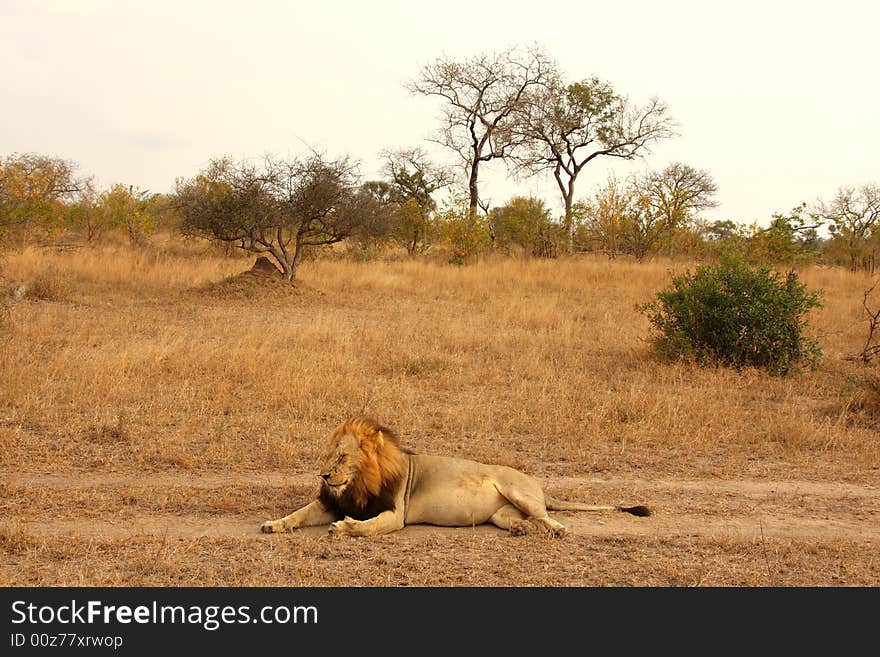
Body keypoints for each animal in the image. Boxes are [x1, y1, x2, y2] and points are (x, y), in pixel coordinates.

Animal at [258, 416, 648, 540]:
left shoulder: (395, 515)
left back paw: (553, 530)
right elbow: (297, 514)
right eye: (327, 457)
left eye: (342, 458)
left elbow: (369, 527)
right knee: (523, 520)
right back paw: (523, 531)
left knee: (551, 520)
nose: (324, 475)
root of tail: (539, 486)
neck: (358, 485)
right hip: (502, 514)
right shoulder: (329, 503)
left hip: (516, 491)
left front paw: (346, 527)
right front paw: (273, 524)